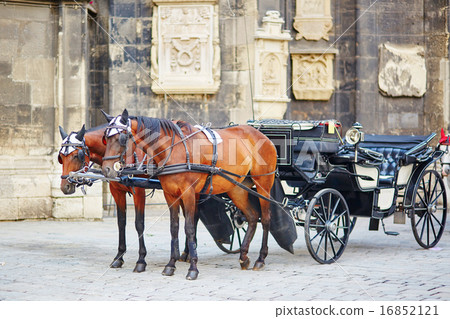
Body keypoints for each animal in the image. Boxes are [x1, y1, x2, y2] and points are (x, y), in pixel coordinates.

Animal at [57, 124, 149, 274]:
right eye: (60, 157)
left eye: (77, 155)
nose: (65, 186)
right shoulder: (117, 191)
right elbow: (121, 222)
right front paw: (118, 257)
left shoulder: (139, 192)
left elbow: (139, 224)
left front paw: (141, 260)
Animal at [102, 109, 278, 280]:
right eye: (105, 138)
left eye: (121, 138)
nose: (106, 169)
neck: (174, 149)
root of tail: (260, 134)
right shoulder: (170, 195)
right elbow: (174, 227)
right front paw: (171, 264)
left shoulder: (188, 193)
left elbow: (190, 227)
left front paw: (193, 268)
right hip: (237, 188)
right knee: (252, 217)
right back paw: (243, 256)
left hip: (263, 184)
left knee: (266, 218)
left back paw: (260, 258)